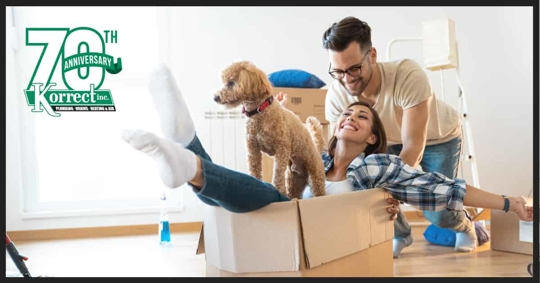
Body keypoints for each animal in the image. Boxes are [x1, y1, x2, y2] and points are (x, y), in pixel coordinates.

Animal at [214, 61, 326, 200]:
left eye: (231, 83)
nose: (215, 97)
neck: (259, 112)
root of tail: (316, 149)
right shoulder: (253, 148)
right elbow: (254, 168)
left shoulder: (282, 148)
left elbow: (277, 172)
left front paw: (279, 189)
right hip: (294, 180)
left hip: (315, 176)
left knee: (319, 191)